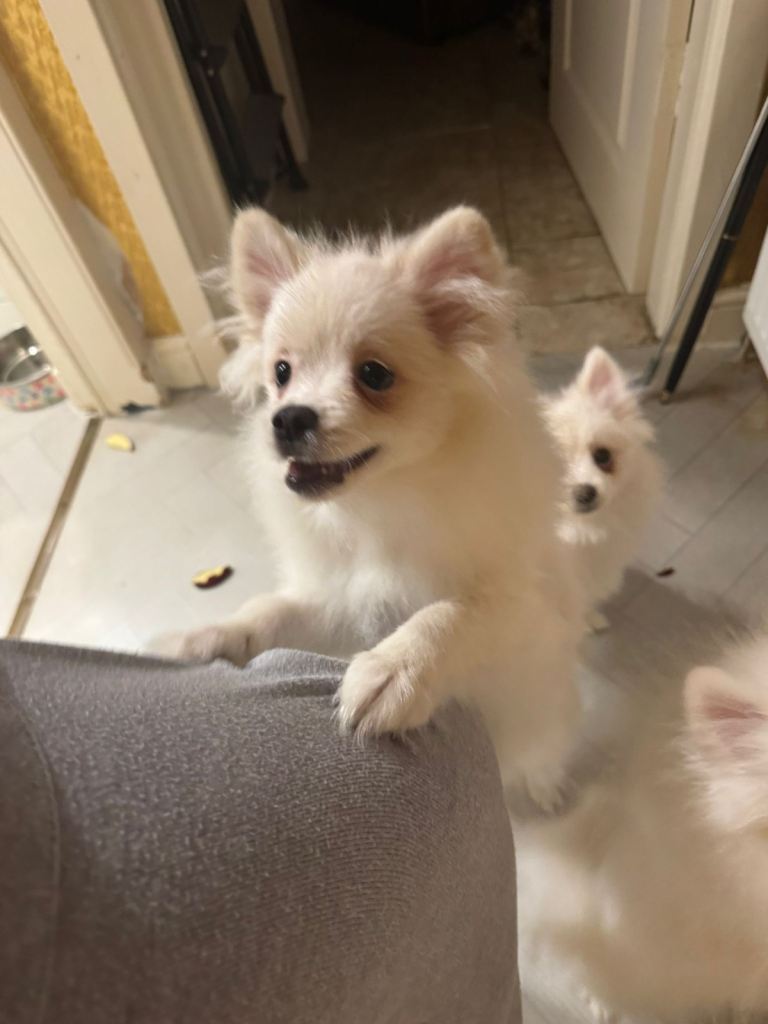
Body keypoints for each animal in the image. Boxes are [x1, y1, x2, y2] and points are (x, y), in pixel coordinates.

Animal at [157, 205, 586, 807]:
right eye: (282, 372)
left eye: (374, 375)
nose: (287, 418)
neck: (379, 502)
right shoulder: (338, 601)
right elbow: (271, 612)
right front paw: (208, 639)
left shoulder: (515, 603)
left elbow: (449, 615)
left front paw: (391, 672)